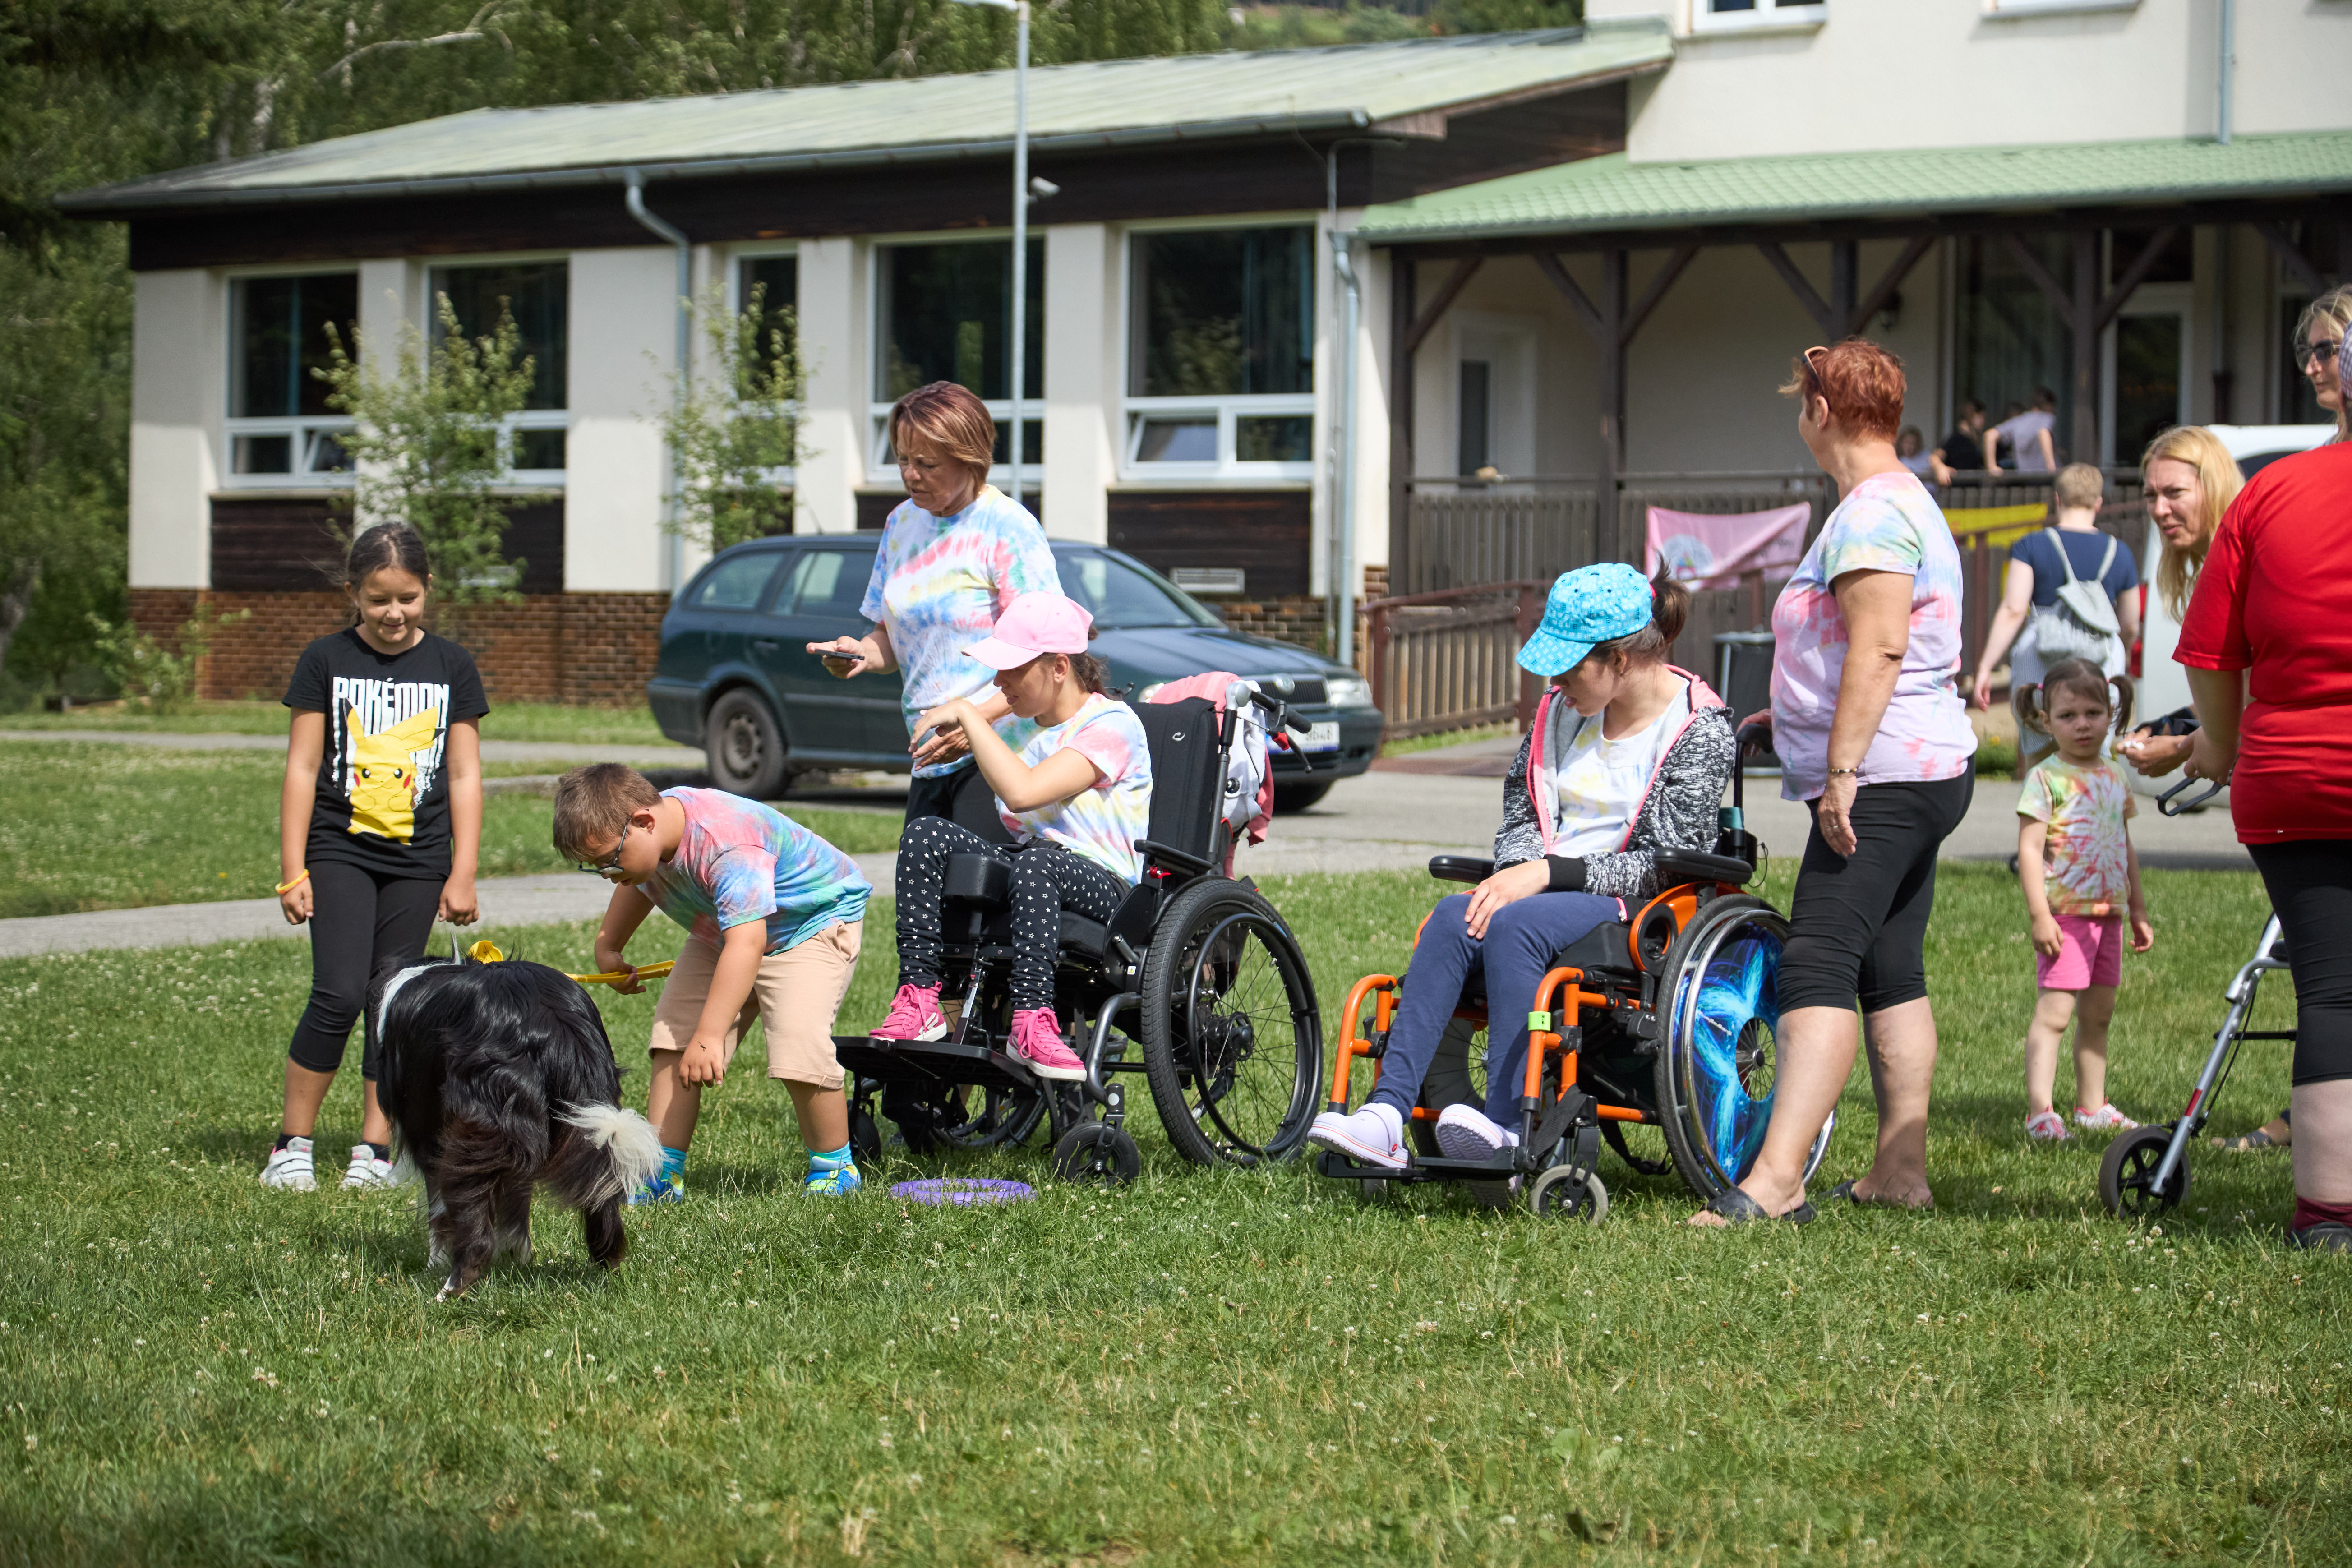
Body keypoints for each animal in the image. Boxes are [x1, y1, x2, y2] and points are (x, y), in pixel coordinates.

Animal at [375, 957, 663, 1299]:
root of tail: (556, 1020)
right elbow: (516, 1209)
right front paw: (519, 1260)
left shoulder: (427, 1137)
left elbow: (438, 1213)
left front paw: (436, 1262)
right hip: (589, 1120)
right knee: (602, 1204)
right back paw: (609, 1271)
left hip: (474, 1134)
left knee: (474, 1229)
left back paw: (450, 1291)